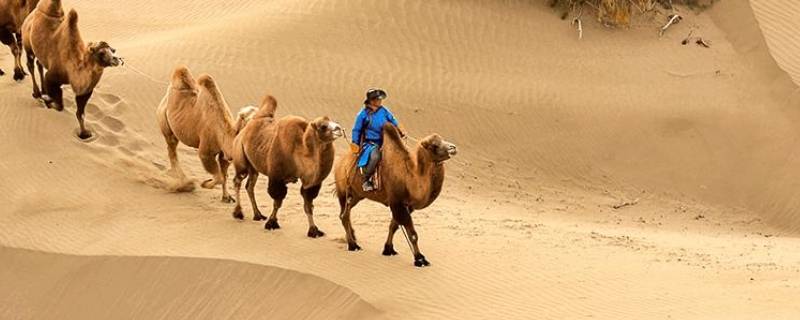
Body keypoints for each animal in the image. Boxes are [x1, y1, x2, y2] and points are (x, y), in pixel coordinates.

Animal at [20, 0, 122, 139]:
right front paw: (48, 100)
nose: (116, 59)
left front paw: (84, 133)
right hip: (27, 43)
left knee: (39, 63)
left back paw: (42, 91)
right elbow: (60, 105)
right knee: (30, 64)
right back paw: (37, 93)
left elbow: (80, 113)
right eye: (101, 53)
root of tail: (31, 14)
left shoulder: (85, 91)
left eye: (112, 50)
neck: (73, 70)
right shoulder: (52, 77)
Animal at [156, 66, 256, 202]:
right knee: (172, 150)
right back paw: (184, 183)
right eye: (250, 120)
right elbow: (219, 177)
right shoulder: (206, 152)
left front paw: (226, 197)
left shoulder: (224, 154)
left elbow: (224, 175)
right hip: (166, 123)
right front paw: (205, 183)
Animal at [230, 93, 346, 238]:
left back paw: (258, 215)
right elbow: (277, 201)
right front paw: (271, 223)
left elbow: (308, 205)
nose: (339, 128)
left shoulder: (309, 183)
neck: (299, 152)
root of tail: (248, 124)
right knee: (238, 180)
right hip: (241, 158)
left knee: (249, 186)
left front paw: (314, 230)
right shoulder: (276, 177)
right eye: (323, 126)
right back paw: (238, 213)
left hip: (254, 166)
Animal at [332, 125, 456, 268]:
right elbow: (412, 234)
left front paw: (388, 249)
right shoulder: (396, 202)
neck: (409, 178)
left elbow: (394, 226)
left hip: (357, 195)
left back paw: (352, 238)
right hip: (343, 191)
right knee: (344, 215)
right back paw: (353, 245)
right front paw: (420, 259)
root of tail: (339, 162)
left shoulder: (406, 205)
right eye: (434, 145)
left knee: (346, 213)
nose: (453, 147)